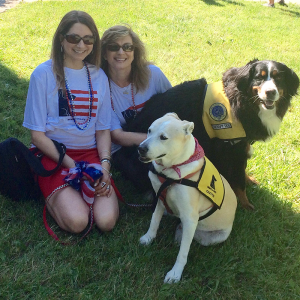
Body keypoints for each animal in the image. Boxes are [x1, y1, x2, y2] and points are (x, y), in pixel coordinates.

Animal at [123, 58, 298, 209]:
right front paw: (245, 203)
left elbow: (242, 168)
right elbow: (238, 177)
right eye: (258, 78)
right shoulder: (229, 147)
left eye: (279, 77)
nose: (270, 92)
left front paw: (249, 181)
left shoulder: (241, 142)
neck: (242, 101)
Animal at [138, 112, 237, 284]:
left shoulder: (190, 217)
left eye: (163, 137)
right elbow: (154, 221)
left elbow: (183, 252)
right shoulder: (159, 199)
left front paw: (175, 274)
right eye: (149, 130)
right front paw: (148, 238)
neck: (171, 171)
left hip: (212, 236)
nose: (140, 148)